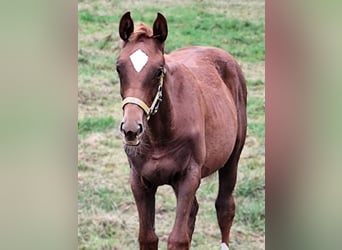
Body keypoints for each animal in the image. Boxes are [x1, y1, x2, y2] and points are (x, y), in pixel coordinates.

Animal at [116, 10, 247, 249]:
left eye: (159, 71)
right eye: (119, 68)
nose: (131, 129)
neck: (160, 136)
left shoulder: (189, 177)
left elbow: (177, 238)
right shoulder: (139, 181)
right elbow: (148, 237)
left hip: (232, 157)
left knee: (225, 208)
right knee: (194, 210)